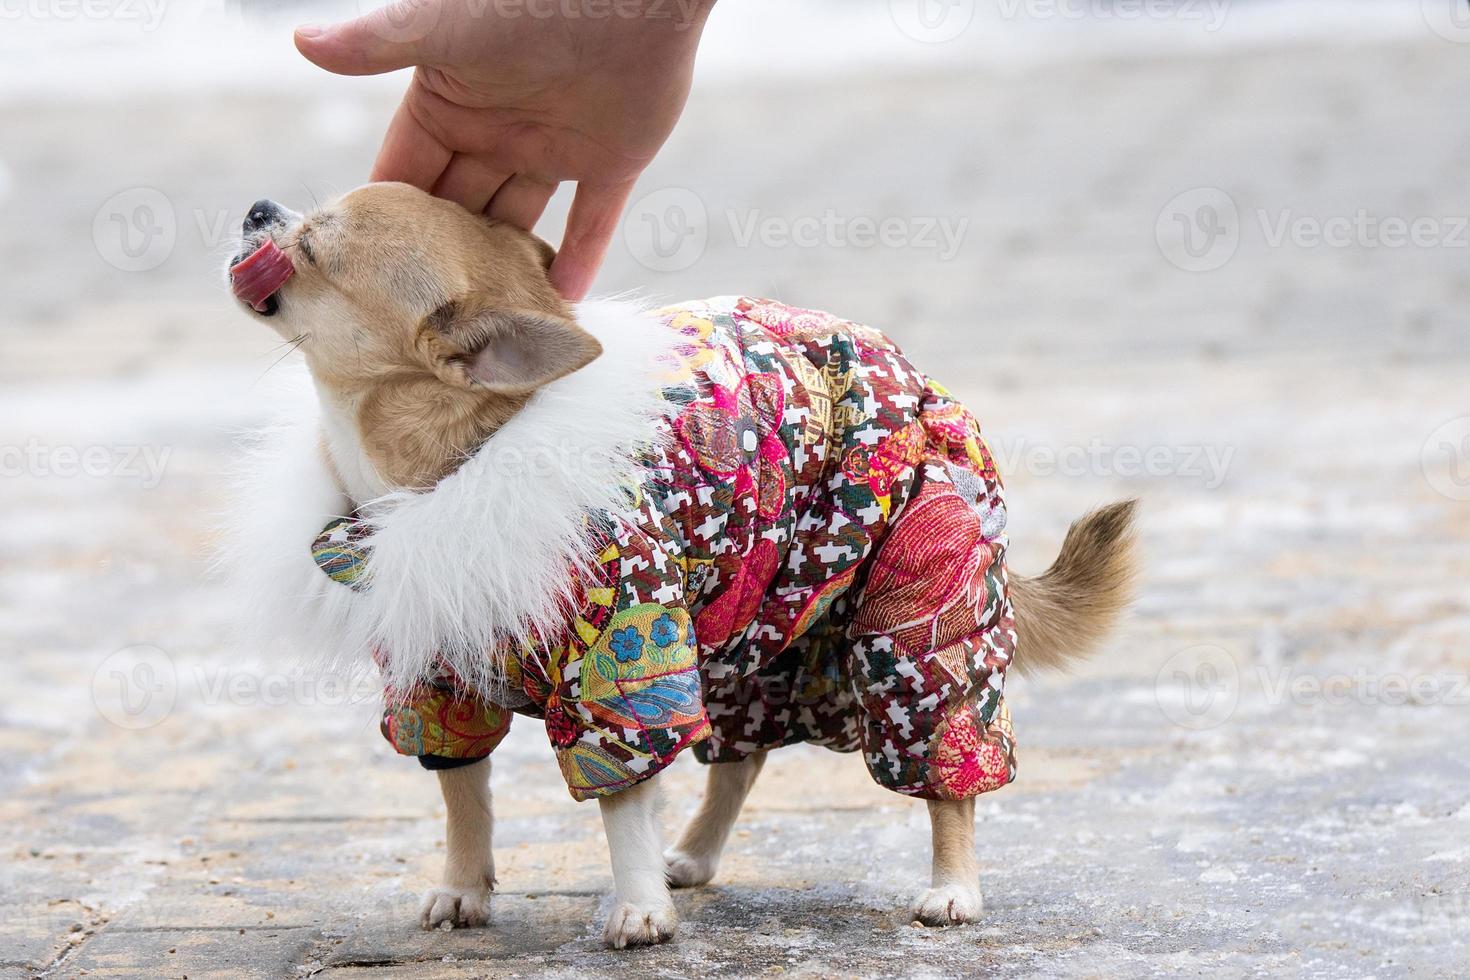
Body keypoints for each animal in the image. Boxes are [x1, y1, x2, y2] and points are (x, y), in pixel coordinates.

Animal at [226, 182, 1134, 952]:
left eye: (313, 248)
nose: (259, 206)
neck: (457, 466)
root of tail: (919, 377)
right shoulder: (437, 672)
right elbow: (463, 788)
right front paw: (464, 885)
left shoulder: (621, 668)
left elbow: (622, 794)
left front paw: (637, 908)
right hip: (748, 621)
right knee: (743, 759)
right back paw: (694, 854)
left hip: (909, 615)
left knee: (946, 756)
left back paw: (952, 884)